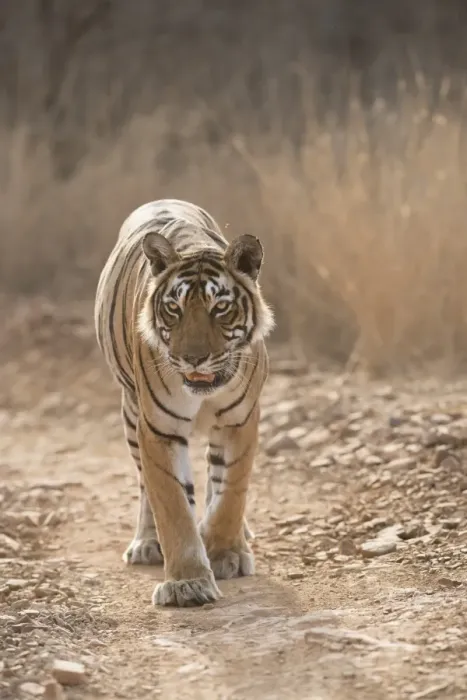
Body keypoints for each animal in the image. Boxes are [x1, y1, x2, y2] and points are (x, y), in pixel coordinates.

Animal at [94, 198, 274, 607]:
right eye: (173, 309)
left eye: (220, 308)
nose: (193, 358)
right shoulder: (158, 428)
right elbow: (173, 505)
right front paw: (186, 583)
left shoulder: (240, 421)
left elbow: (230, 491)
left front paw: (225, 554)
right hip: (131, 414)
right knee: (146, 487)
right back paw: (147, 543)